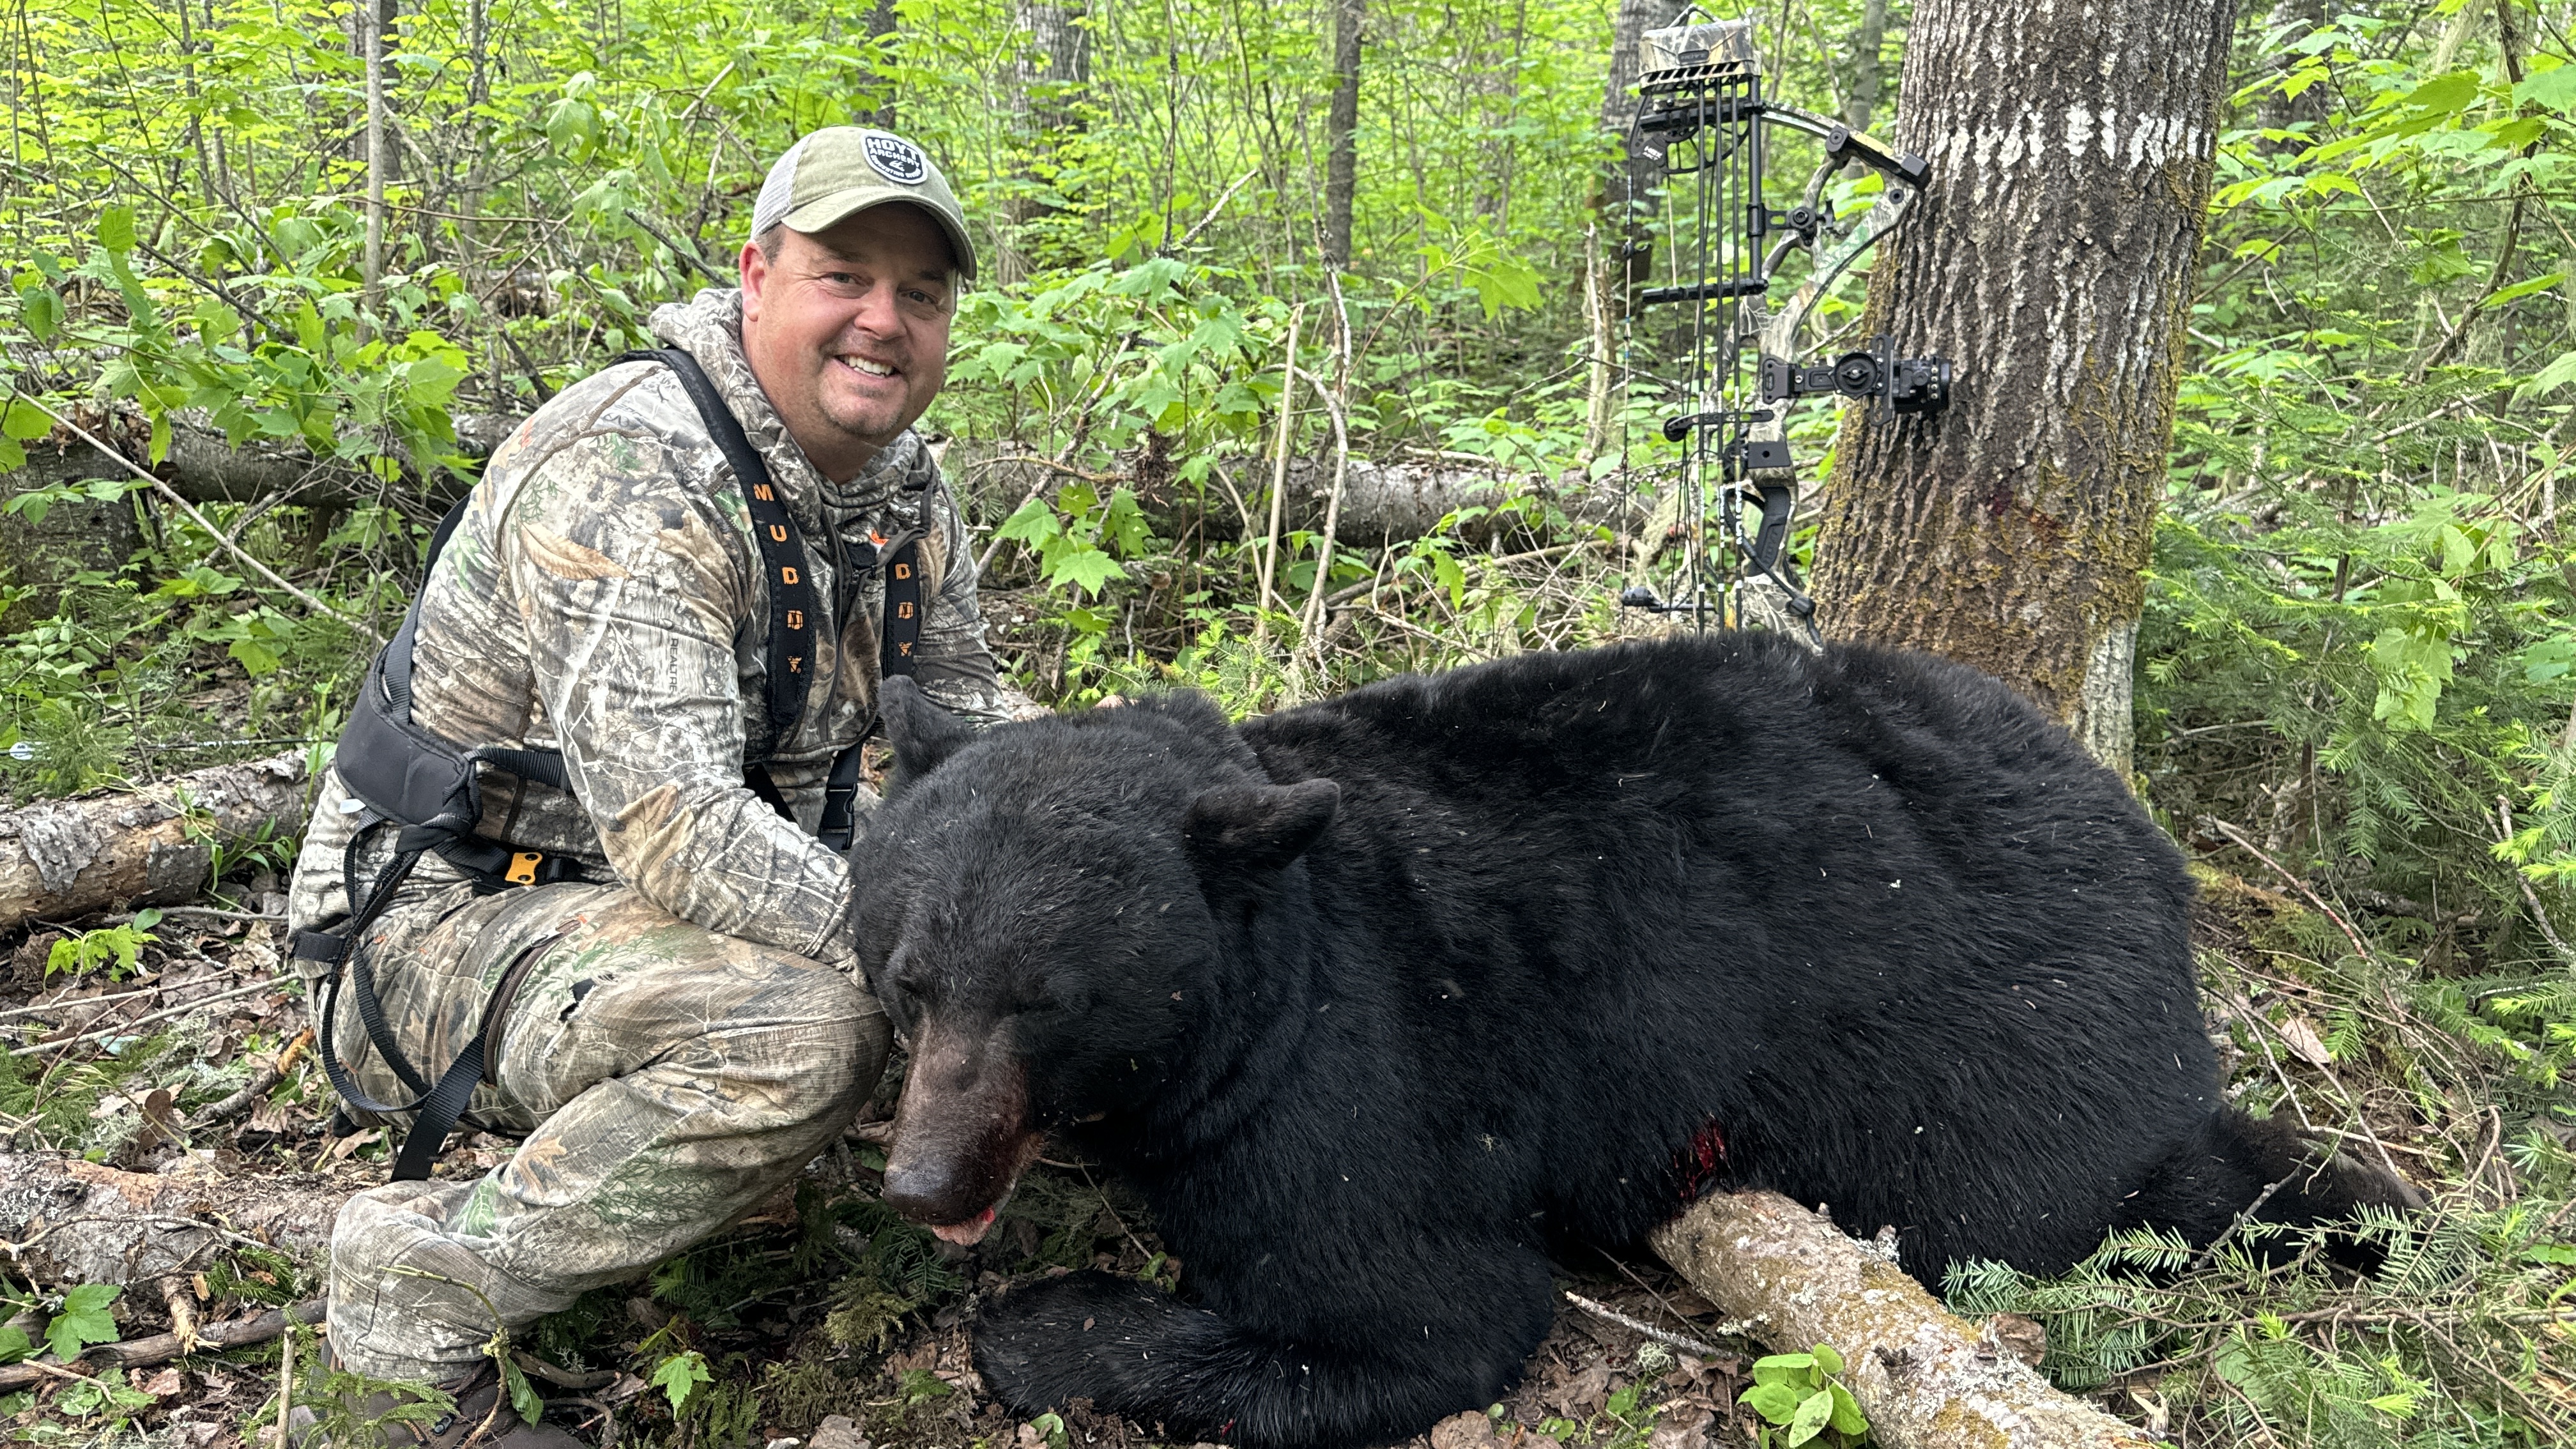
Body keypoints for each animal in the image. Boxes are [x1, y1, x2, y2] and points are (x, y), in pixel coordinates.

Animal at [850, 631, 2411, 1443]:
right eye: (910, 977)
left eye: (1045, 998)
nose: (923, 1183)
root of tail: (2156, 860)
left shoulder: (1355, 1082)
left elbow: (1421, 1317)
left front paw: (1044, 1326)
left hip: (1999, 1065)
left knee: (2095, 1197)